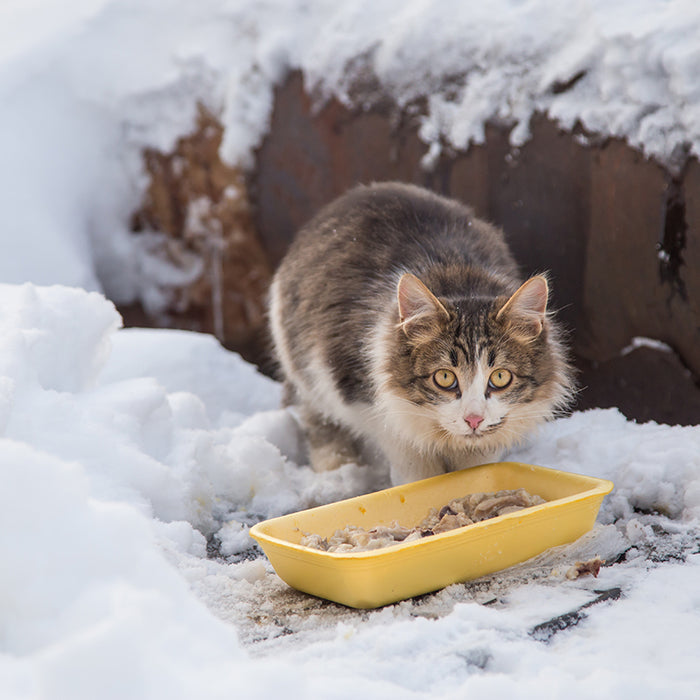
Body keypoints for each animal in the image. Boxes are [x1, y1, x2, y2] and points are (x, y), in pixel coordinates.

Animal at [268, 183, 576, 484]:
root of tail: (363, 190)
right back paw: (337, 471)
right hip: (306, 369)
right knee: (319, 422)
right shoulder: (371, 404)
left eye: (500, 377)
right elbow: (417, 473)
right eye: (444, 378)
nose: (473, 420)